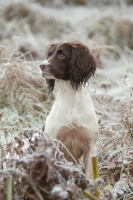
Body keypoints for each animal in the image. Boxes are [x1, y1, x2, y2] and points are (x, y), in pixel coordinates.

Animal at [39, 41, 98, 177]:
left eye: (61, 55)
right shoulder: (54, 144)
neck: (71, 98)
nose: (42, 65)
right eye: (49, 54)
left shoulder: (90, 146)